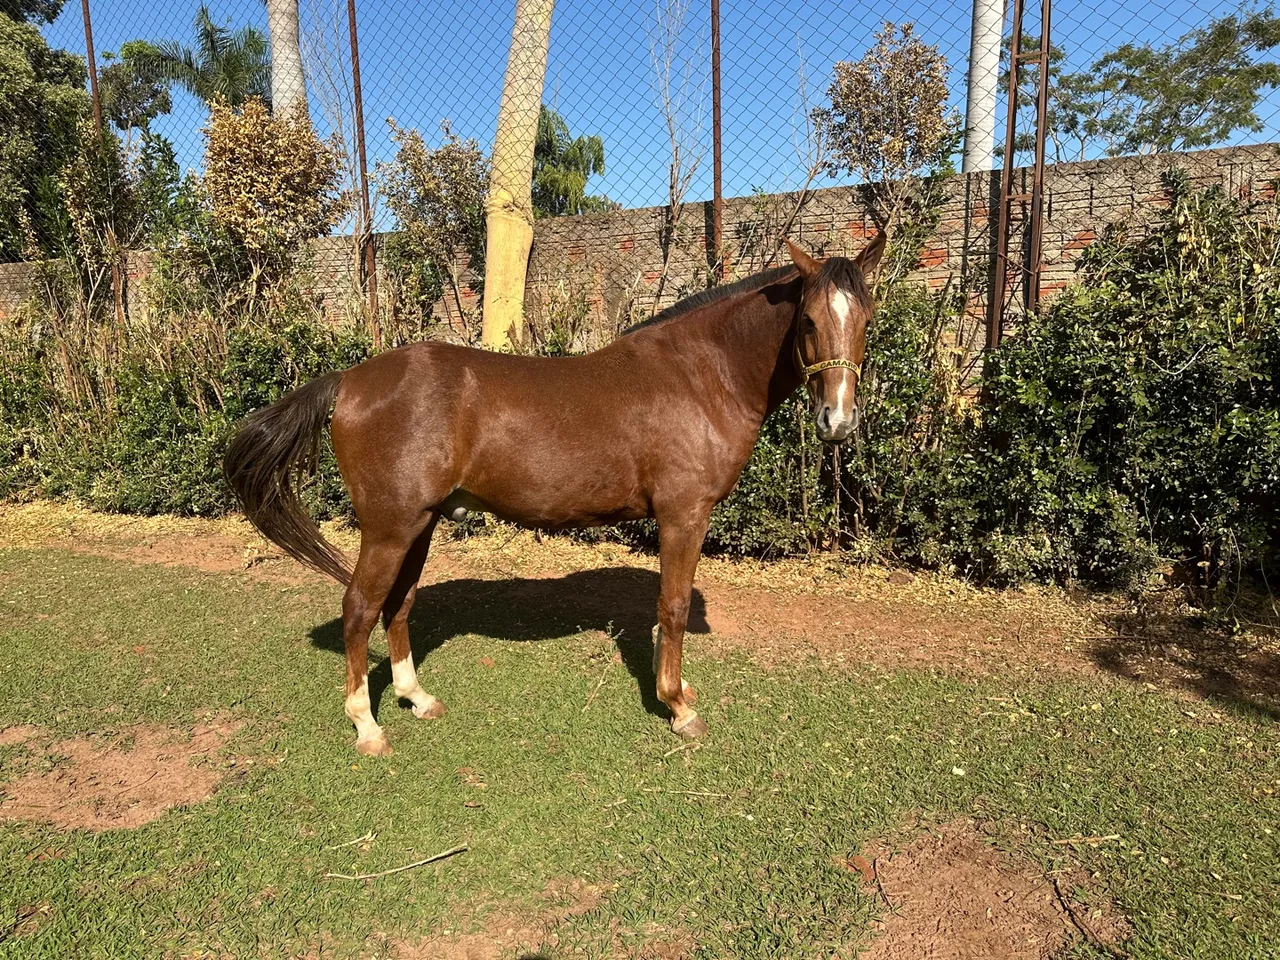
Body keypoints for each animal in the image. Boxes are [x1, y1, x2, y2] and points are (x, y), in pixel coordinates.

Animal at [225, 236, 885, 757]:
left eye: (866, 318)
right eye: (808, 321)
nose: (838, 422)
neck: (701, 376)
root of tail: (349, 381)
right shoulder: (683, 518)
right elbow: (670, 609)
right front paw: (677, 706)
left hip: (419, 525)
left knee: (400, 605)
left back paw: (416, 697)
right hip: (389, 528)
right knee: (360, 609)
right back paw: (366, 725)